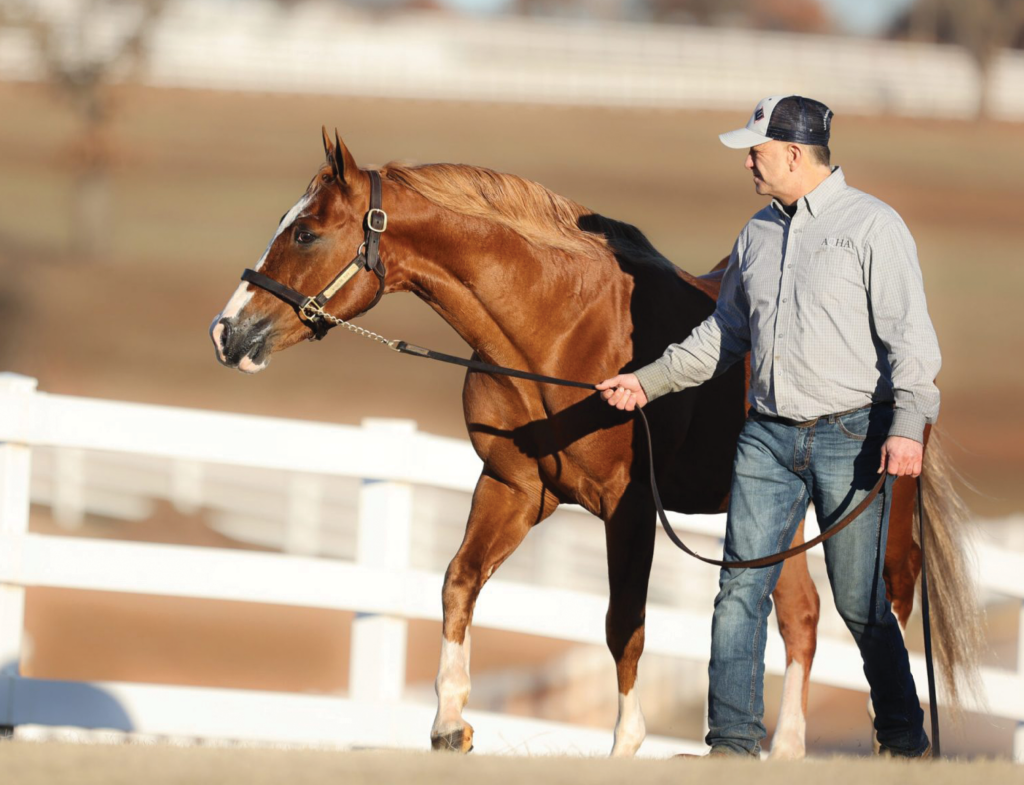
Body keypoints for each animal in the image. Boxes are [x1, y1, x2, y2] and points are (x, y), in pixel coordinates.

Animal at [210, 129, 983, 757]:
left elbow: (624, 622)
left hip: (873, 506)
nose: (227, 332)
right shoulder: (514, 488)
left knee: (882, 610)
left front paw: (625, 741)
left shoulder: (628, 506)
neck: (558, 332)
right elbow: (459, 580)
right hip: (776, 514)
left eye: (307, 234)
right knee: (800, 616)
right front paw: (449, 722)